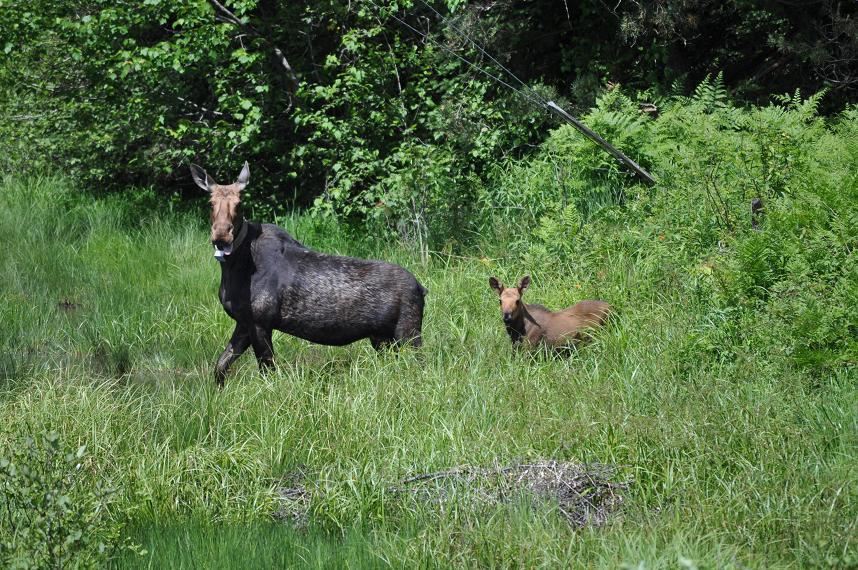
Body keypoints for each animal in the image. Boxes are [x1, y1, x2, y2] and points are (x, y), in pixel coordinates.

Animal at [190, 162, 424, 388]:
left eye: (239, 203)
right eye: (210, 202)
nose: (221, 237)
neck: (234, 267)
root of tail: (423, 289)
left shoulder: (260, 321)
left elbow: (267, 372)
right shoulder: (244, 322)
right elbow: (220, 367)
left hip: (408, 333)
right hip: (382, 338)